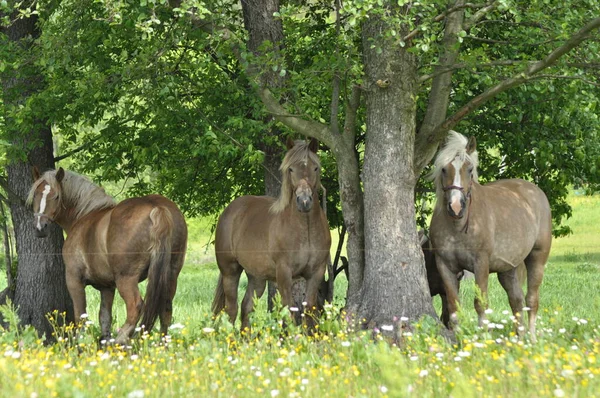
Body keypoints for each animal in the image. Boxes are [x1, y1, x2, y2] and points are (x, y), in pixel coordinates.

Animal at [27, 166, 188, 344]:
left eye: (56, 196)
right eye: (35, 195)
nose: (40, 228)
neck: (83, 216)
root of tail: (157, 208)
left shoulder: (74, 279)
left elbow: (80, 316)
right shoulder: (107, 287)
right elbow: (104, 318)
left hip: (126, 278)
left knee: (135, 306)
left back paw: (121, 340)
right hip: (171, 274)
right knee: (166, 309)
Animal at [212, 138, 332, 332]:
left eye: (315, 168)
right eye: (290, 169)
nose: (304, 201)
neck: (304, 229)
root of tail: (229, 211)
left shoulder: (316, 272)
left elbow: (309, 309)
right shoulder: (284, 273)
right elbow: (289, 309)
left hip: (257, 277)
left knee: (247, 307)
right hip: (230, 271)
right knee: (232, 309)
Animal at [428, 131, 552, 342]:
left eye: (470, 169)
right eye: (444, 169)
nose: (456, 207)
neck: (457, 227)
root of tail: (535, 191)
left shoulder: (481, 264)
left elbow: (481, 303)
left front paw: (484, 338)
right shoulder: (445, 265)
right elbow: (454, 307)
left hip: (537, 258)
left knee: (531, 300)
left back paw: (533, 340)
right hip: (508, 268)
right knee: (516, 300)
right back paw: (519, 339)